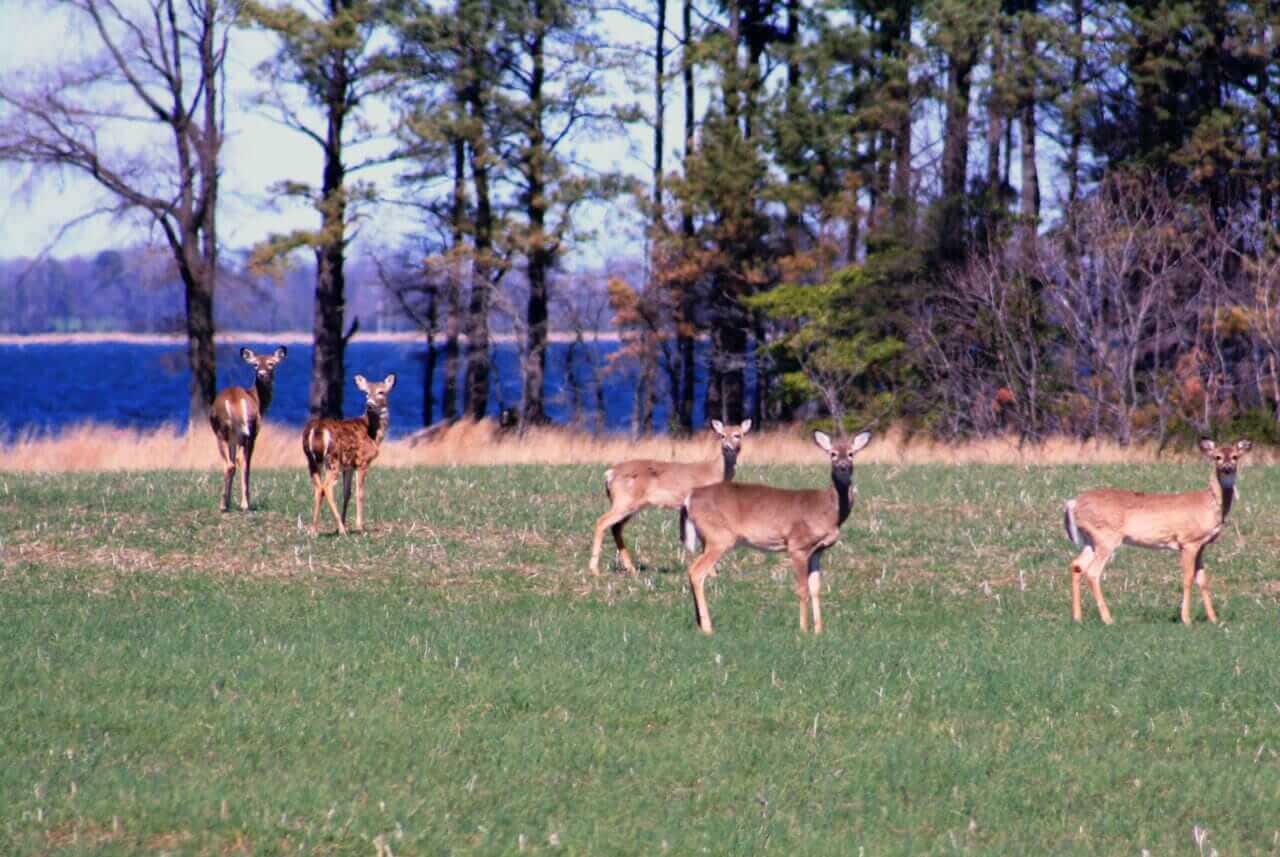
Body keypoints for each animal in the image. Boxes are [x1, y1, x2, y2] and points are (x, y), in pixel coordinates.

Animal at [209, 346, 288, 512]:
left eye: (271, 363)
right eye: (255, 365)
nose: (261, 374)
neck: (257, 398)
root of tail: (234, 401)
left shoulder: (233, 439)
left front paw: (230, 502)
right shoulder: (250, 435)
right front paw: (241, 502)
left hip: (225, 432)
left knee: (231, 464)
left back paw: (225, 504)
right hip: (246, 431)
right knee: (241, 462)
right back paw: (242, 504)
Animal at [302, 373, 396, 535]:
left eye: (381, 392)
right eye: (366, 393)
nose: (369, 404)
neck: (373, 433)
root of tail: (318, 429)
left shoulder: (349, 466)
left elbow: (347, 493)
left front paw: (344, 523)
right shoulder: (362, 461)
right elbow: (360, 493)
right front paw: (359, 527)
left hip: (312, 460)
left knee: (318, 488)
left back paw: (314, 529)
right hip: (332, 459)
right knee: (327, 487)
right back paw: (341, 530)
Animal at [588, 419, 752, 576]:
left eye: (738, 435)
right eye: (722, 435)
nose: (727, 447)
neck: (715, 471)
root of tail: (610, 474)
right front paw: (712, 573)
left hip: (630, 504)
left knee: (616, 527)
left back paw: (631, 569)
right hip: (624, 500)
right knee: (601, 522)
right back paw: (595, 570)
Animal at [680, 429, 873, 635]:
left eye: (851, 453)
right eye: (833, 454)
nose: (843, 467)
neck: (828, 510)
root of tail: (689, 498)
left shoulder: (818, 551)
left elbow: (815, 588)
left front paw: (819, 630)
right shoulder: (797, 545)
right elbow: (802, 588)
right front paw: (803, 630)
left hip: (708, 539)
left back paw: (700, 624)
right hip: (719, 537)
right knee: (696, 571)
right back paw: (708, 628)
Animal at [1063, 438, 1253, 625]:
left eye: (1235, 457)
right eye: (1217, 457)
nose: (1227, 468)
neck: (1209, 504)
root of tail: (1073, 504)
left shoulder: (1201, 545)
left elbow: (1202, 579)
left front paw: (1213, 619)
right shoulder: (1188, 541)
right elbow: (1187, 578)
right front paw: (1186, 619)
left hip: (1091, 540)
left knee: (1077, 565)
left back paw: (1077, 617)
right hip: (1106, 538)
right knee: (1093, 572)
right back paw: (1108, 618)